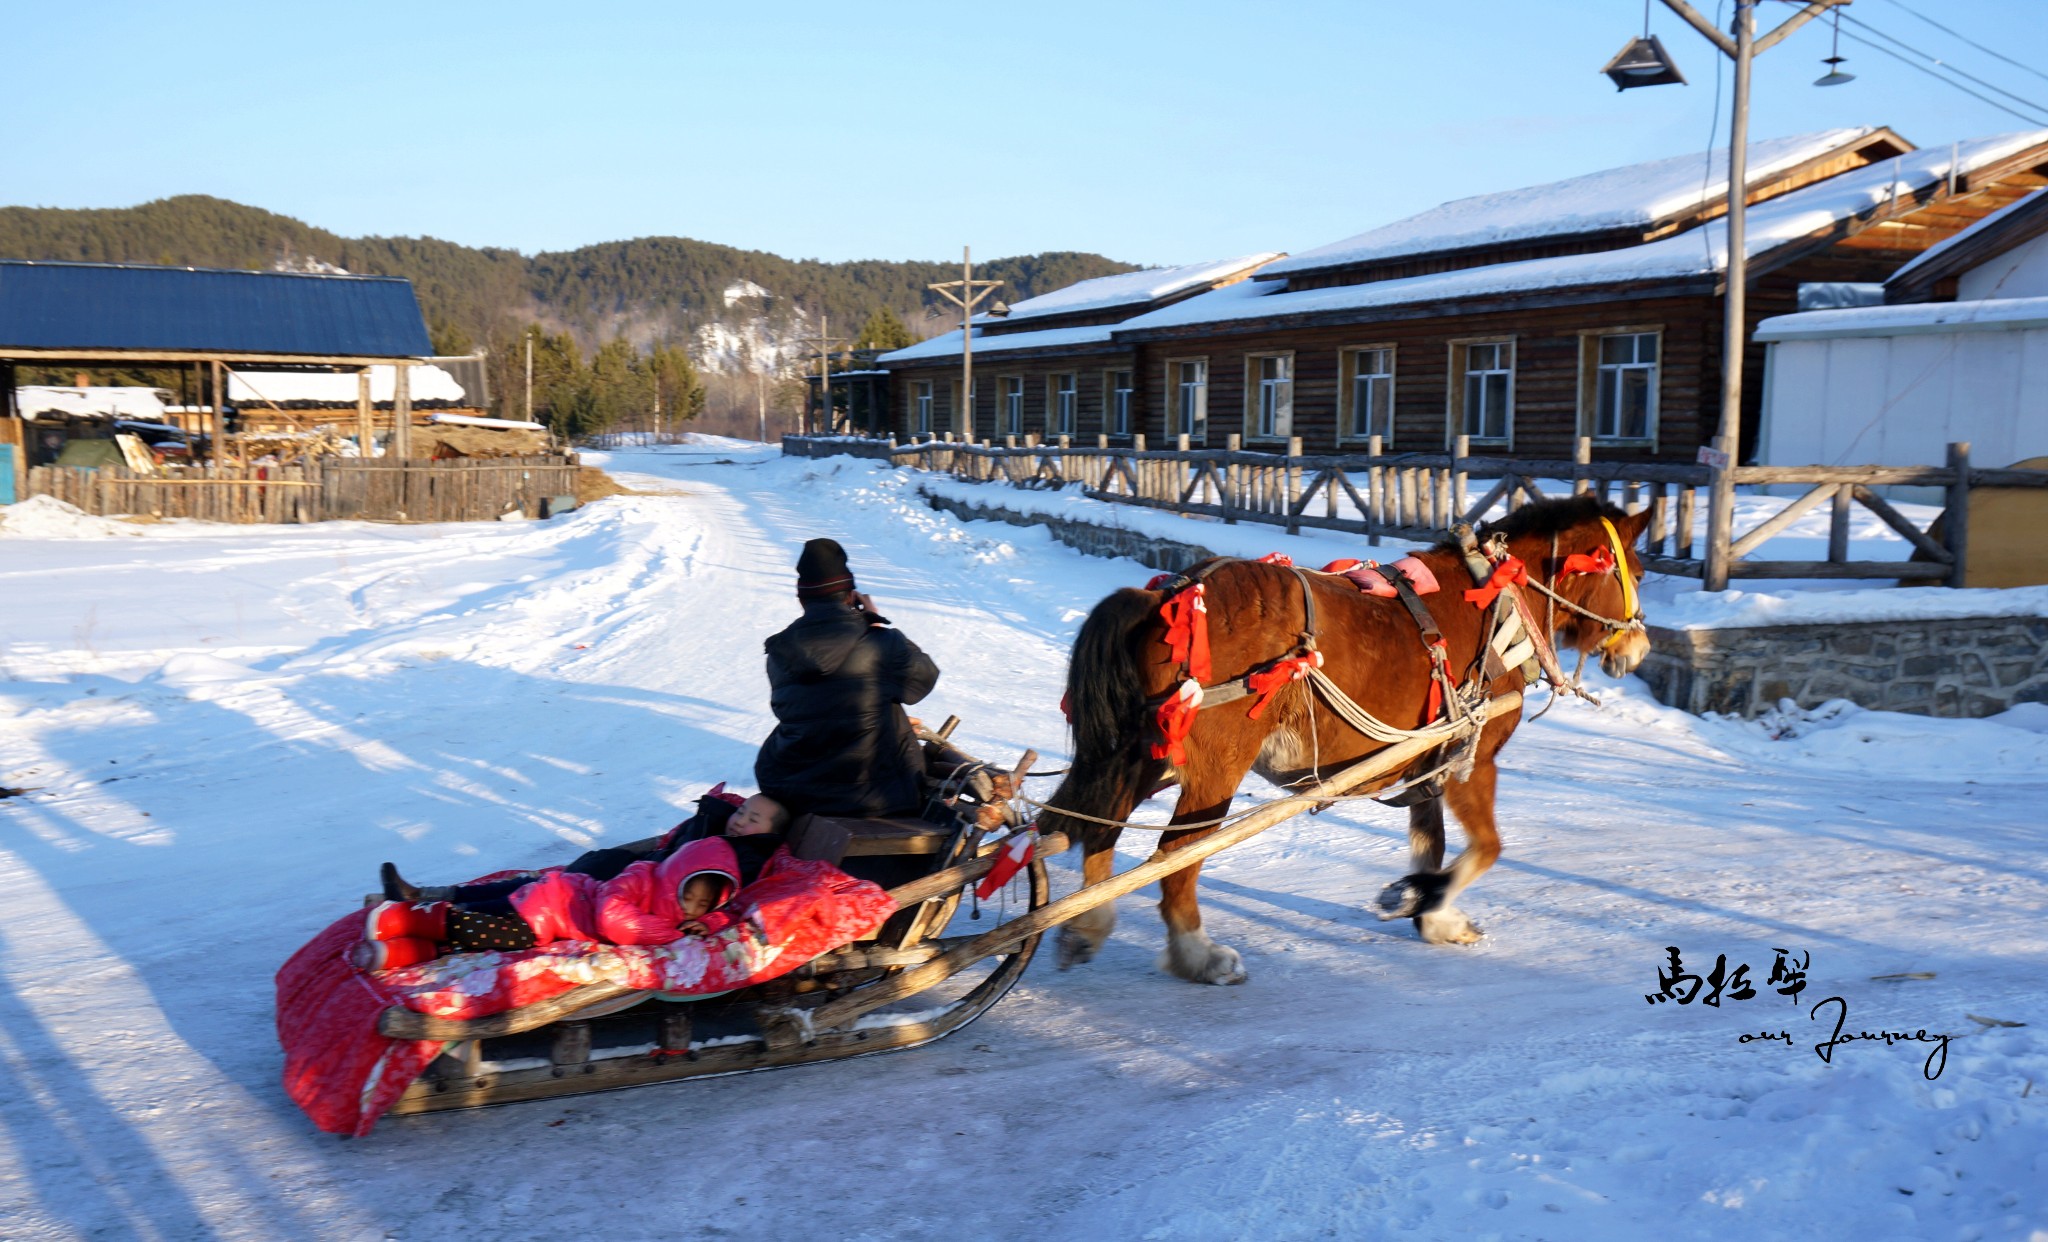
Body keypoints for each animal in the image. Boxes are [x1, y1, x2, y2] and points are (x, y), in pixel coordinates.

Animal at [1048, 491, 1654, 987]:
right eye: (1640, 572)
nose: (1639, 648)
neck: (1496, 600)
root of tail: (1167, 595)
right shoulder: (1471, 757)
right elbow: (1486, 848)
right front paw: (1425, 901)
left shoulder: (1428, 761)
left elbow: (1431, 843)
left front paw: (1432, 912)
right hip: (1215, 768)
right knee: (1174, 856)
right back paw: (1198, 954)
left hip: (1141, 753)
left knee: (1093, 823)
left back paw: (1087, 923)